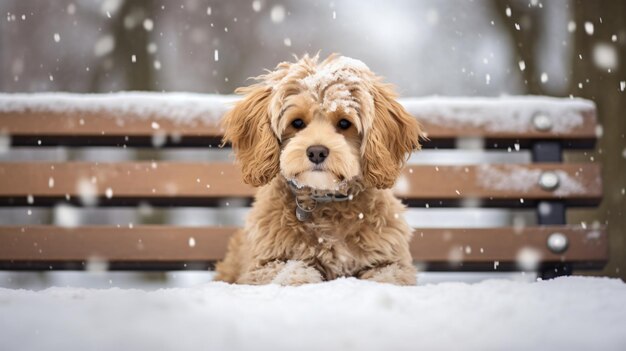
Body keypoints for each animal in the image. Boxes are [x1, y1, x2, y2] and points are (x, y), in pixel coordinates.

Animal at [212, 54, 422, 286]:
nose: (317, 152)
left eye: (344, 123)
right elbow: (292, 270)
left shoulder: (393, 262)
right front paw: (302, 278)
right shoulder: (261, 266)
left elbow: (387, 277)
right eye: (297, 123)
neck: (325, 202)